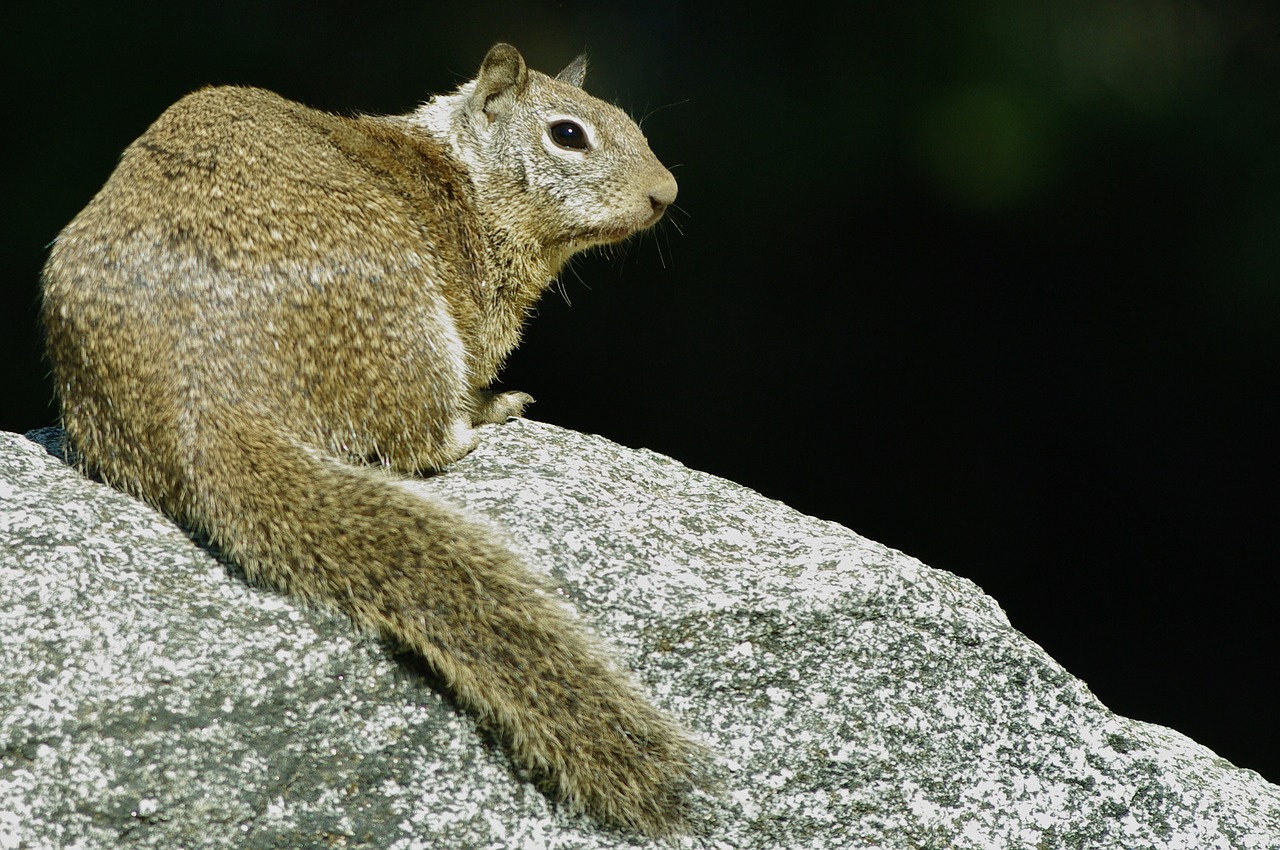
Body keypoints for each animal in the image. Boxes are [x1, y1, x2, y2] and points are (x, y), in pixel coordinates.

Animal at [40, 43, 701, 834]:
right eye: (568, 134)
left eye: (630, 121)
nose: (666, 193)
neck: (462, 170)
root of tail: (202, 393)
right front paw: (497, 398)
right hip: (416, 332)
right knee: (419, 444)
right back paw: (480, 423)